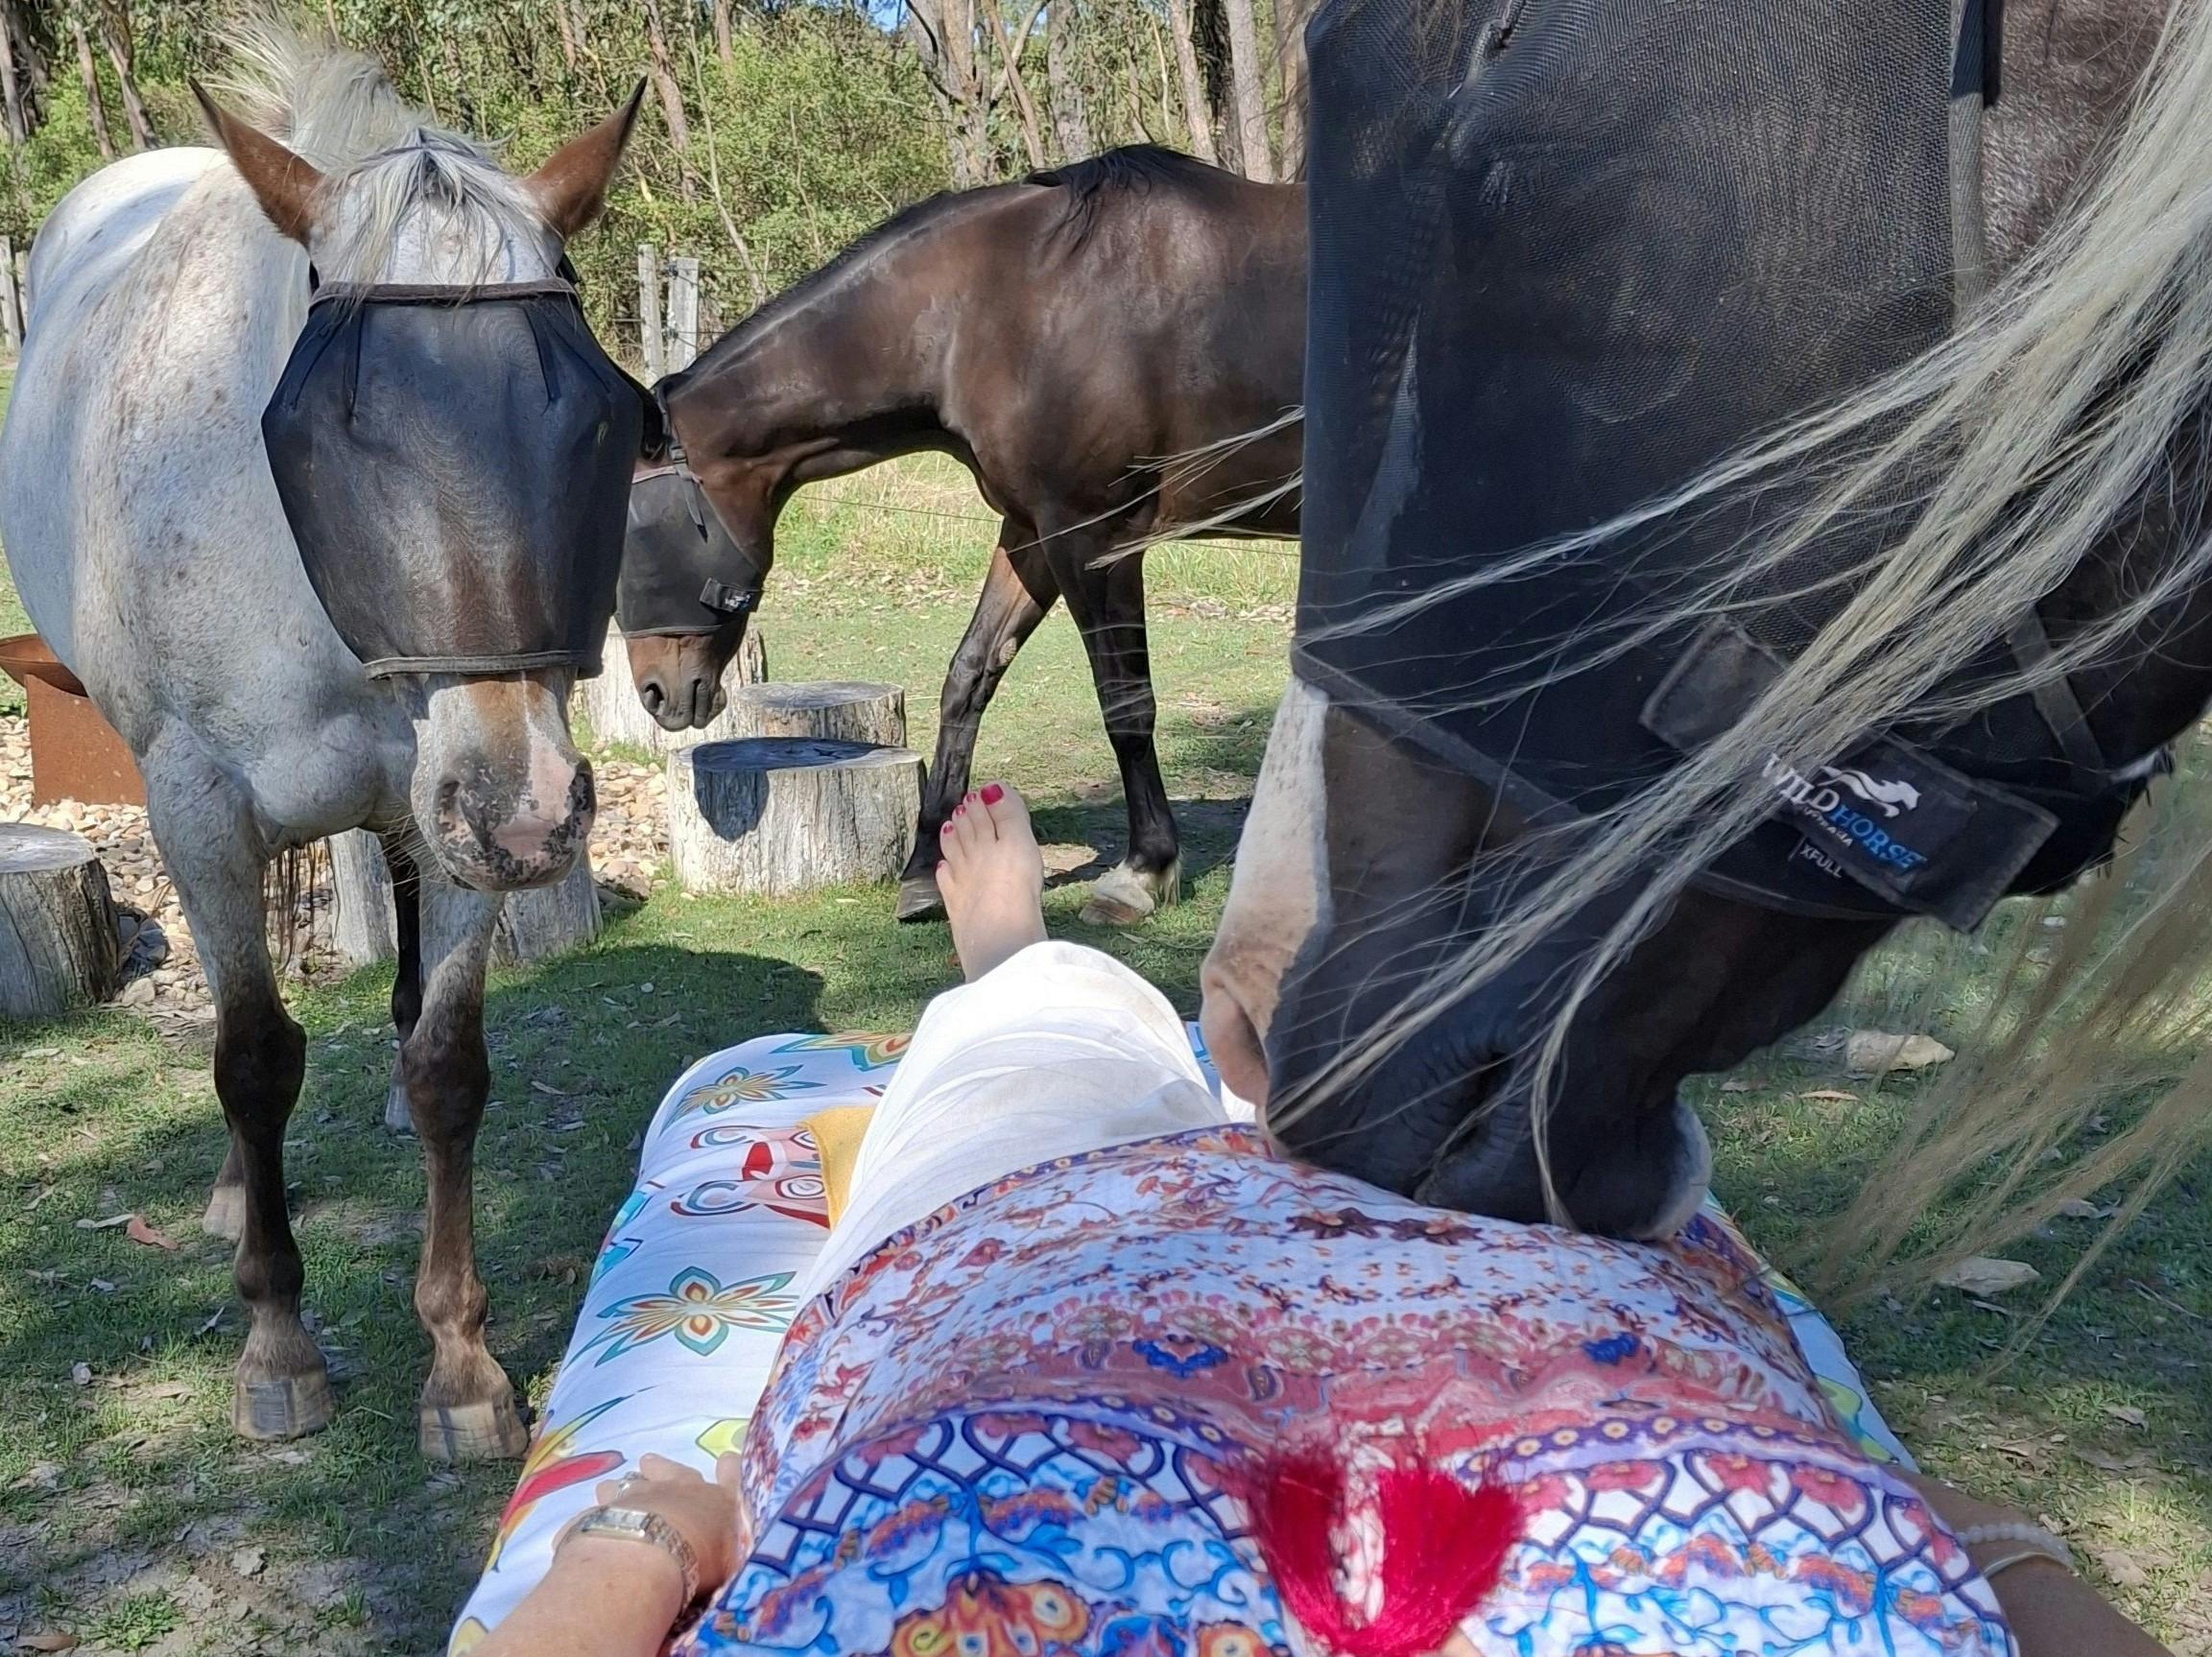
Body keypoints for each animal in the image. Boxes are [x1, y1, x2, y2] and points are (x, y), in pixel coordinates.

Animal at [0, 30, 641, 1458]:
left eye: (593, 421)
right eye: (337, 434)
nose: (533, 815)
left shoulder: (457, 803)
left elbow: (449, 1061)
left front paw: (461, 1362)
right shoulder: (198, 806)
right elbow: (250, 1057)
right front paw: (278, 1343)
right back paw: (236, 1196)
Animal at [623, 147, 1304, 925]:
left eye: (630, 534)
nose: (657, 693)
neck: (1005, 300)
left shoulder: (1091, 536)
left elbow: (1125, 702)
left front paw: (1143, 869)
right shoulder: (1031, 532)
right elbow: (968, 677)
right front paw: (925, 869)